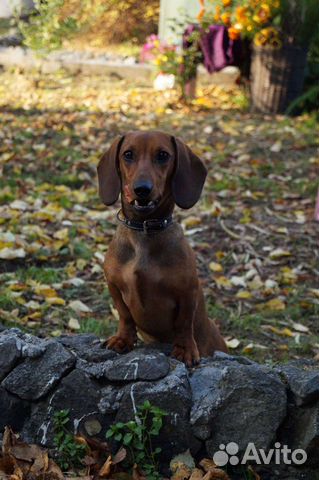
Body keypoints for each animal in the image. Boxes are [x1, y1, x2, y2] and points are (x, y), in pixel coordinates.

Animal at [97, 129, 228, 366]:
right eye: (128, 154)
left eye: (163, 155)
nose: (142, 189)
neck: (145, 230)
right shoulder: (113, 286)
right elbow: (125, 315)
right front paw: (123, 339)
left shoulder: (188, 291)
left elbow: (184, 323)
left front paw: (185, 350)